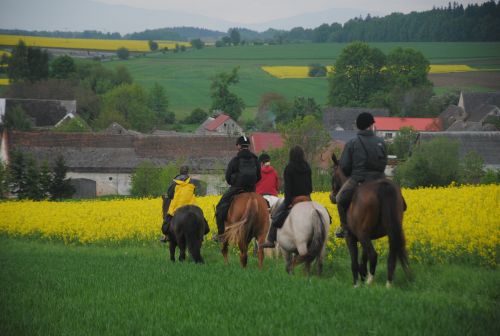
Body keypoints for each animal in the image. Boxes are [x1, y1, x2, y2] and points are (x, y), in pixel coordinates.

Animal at [330, 154, 408, 288]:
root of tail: (383, 187)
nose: (332, 196)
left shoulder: (351, 238)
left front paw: (357, 283)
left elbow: (355, 260)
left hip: (362, 234)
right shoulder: (367, 237)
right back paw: (388, 283)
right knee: (392, 254)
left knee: (373, 254)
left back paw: (370, 281)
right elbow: (363, 257)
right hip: (391, 231)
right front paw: (363, 274)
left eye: (332, 174)